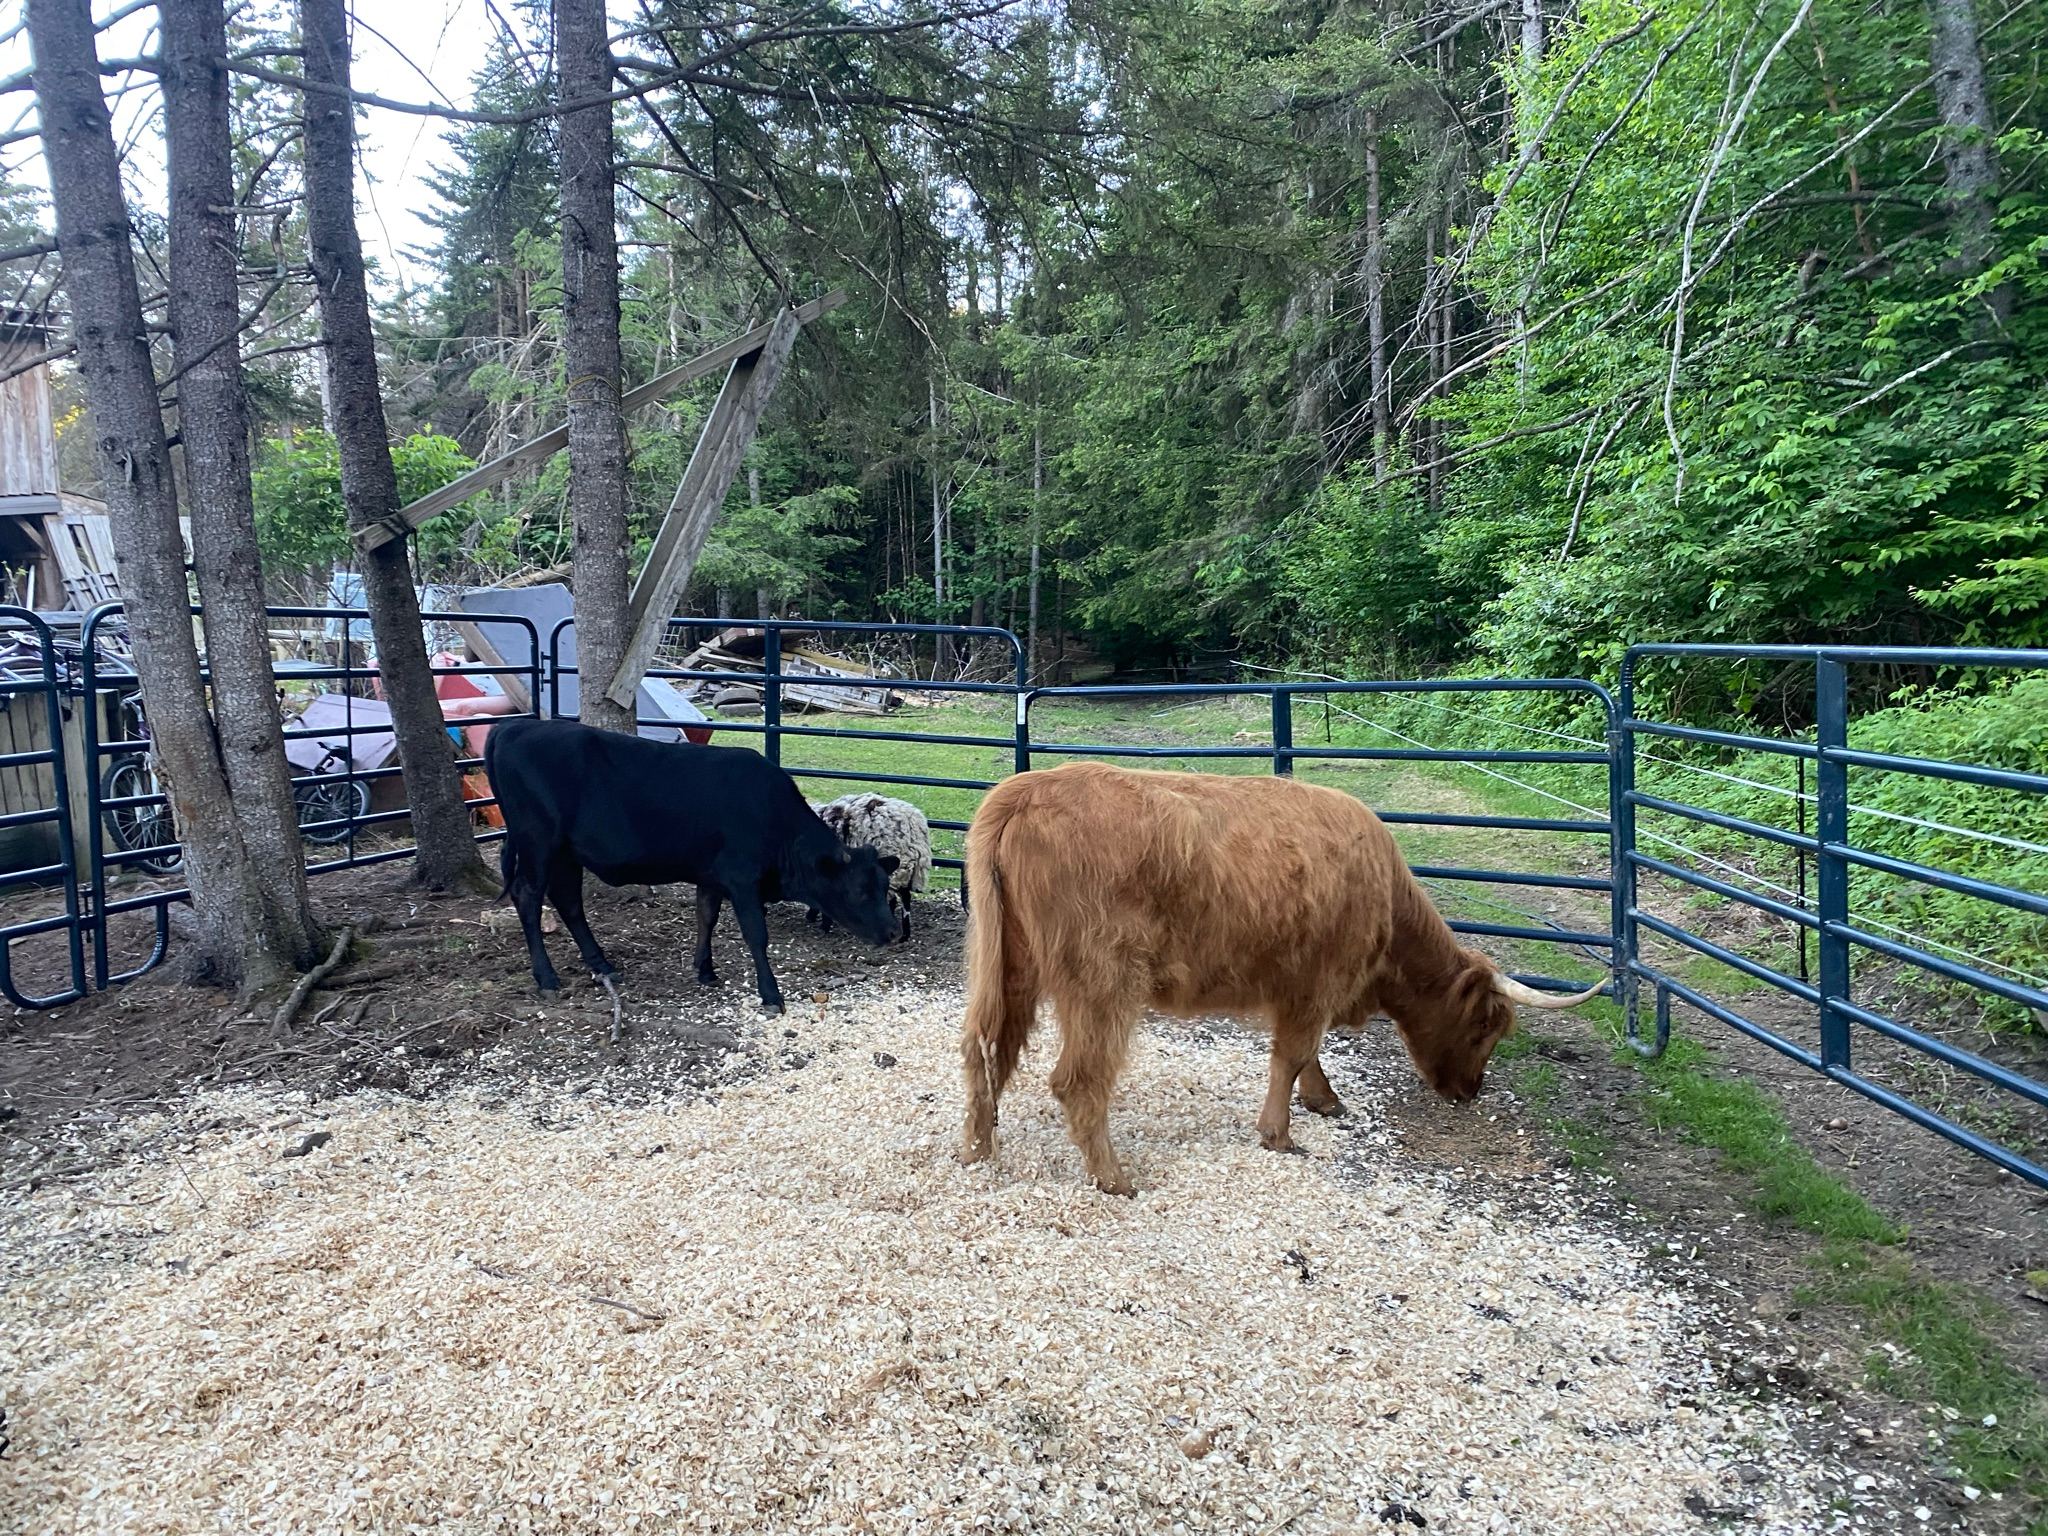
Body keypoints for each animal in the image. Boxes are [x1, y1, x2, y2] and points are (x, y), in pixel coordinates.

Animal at [485, 717, 900, 1034]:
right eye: (860, 890)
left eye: (884, 887)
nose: (893, 932)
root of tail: (513, 726)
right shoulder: (742, 880)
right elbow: (756, 935)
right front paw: (770, 995)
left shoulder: (711, 876)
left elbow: (706, 917)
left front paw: (705, 969)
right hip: (538, 843)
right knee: (529, 897)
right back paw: (547, 977)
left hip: (565, 853)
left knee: (568, 900)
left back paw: (602, 965)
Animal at [957, 760, 1603, 1195]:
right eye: (1487, 1027)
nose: (1471, 1092)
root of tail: (1025, 790)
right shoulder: (1315, 982)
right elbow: (1292, 1054)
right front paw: (1280, 1134)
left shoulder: (1301, 987)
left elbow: (1308, 1055)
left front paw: (1324, 1101)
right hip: (1102, 982)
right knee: (1077, 1078)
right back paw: (1116, 1179)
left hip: (1007, 966)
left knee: (984, 1050)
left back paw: (978, 1152)